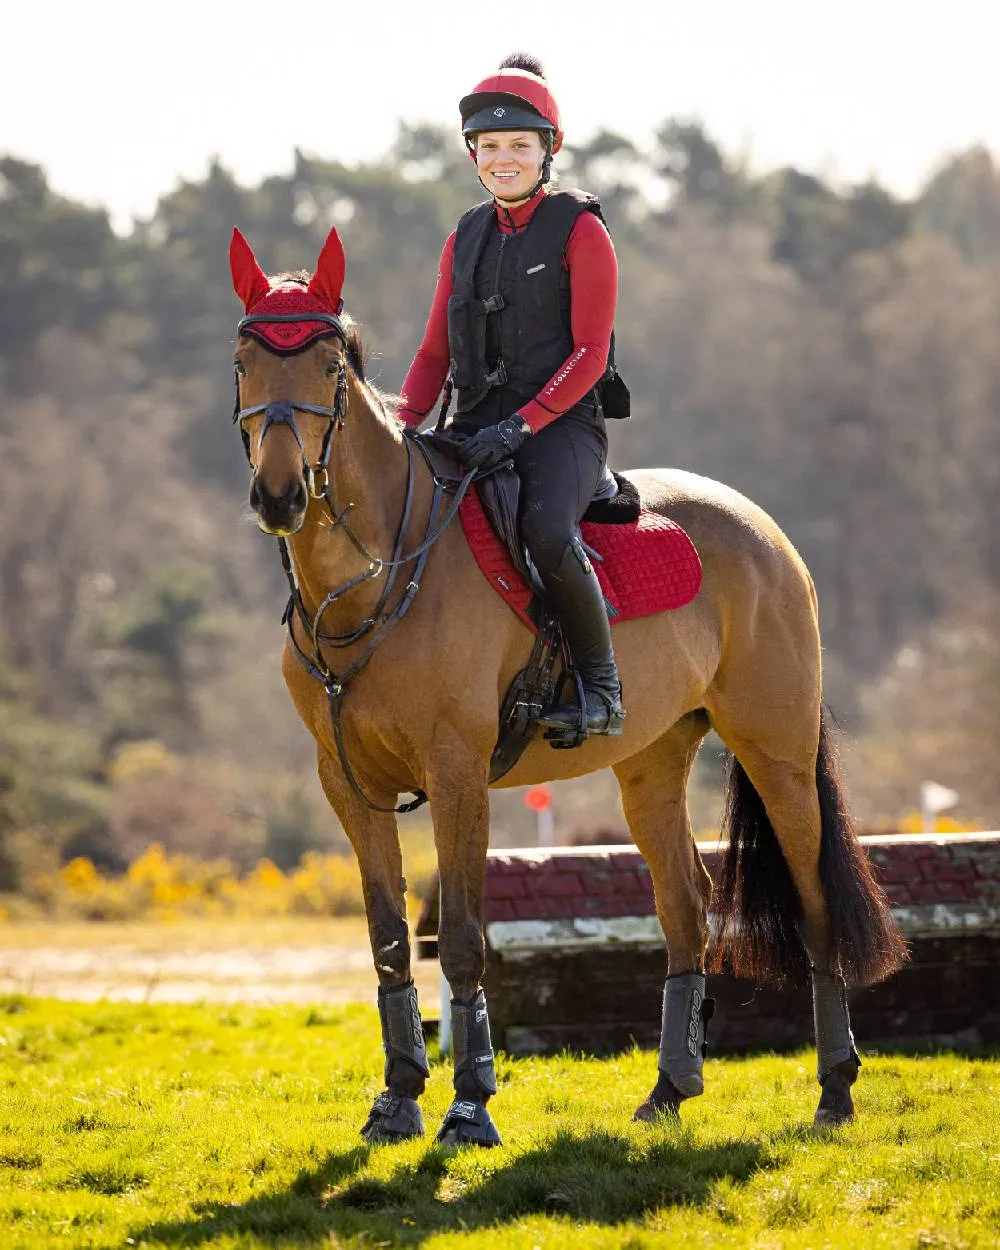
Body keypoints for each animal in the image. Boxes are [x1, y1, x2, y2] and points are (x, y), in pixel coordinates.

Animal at [226, 227, 905, 1150]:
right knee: (685, 905)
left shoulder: (457, 772)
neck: (373, 577)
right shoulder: (348, 783)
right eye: (244, 361)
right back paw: (669, 1089)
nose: (280, 494)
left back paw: (834, 1089)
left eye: (329, 365)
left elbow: (464, 940)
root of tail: (764, 529)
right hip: (652, 762)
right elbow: (389, 939)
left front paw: (469, 1106)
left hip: (779, 755)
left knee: (813, 902)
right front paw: (398, 1099)